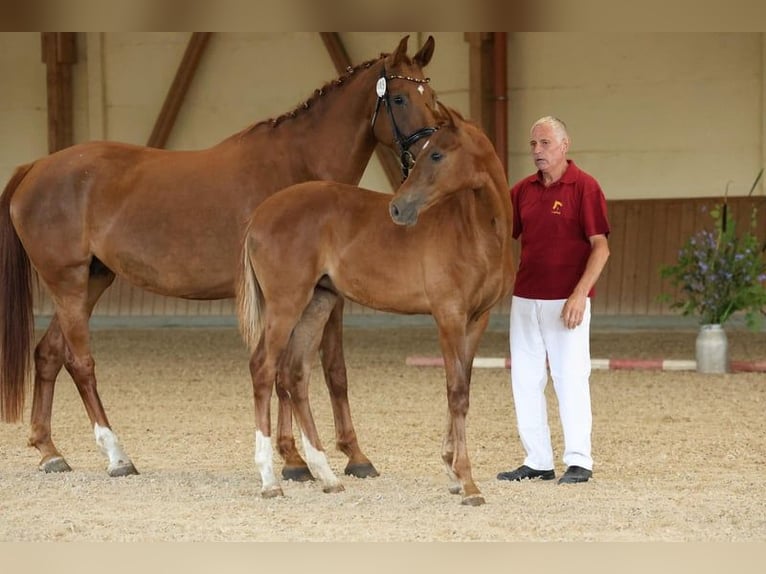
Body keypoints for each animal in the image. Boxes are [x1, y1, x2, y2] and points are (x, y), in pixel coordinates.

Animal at [0, 35, 440, 481]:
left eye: (432, 95)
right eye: (400, 98)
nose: (429, 153)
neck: (299, 170)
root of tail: (35, 166)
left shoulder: (325, 294)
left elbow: (333, 370)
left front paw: (354, 456)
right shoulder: (282, 297)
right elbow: (281, 372)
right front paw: (293, 460)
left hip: (92, 280)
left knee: (48, 354)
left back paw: (49, 451)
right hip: (68, 282)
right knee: (79, 361)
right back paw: (117, 456)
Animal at [237, 106, 514, 506]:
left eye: (436, 154)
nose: (398, 209)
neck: (476, 231)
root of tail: (260, 214)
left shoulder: (477, 320)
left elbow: (462, 389)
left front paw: (452, 473)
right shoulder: (449, 317)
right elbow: (456, 393)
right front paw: (467, 482)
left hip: (316, 305)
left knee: (295, 376)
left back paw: (326, 475)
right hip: (285, 306)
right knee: (263, 369)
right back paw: (270, 481)